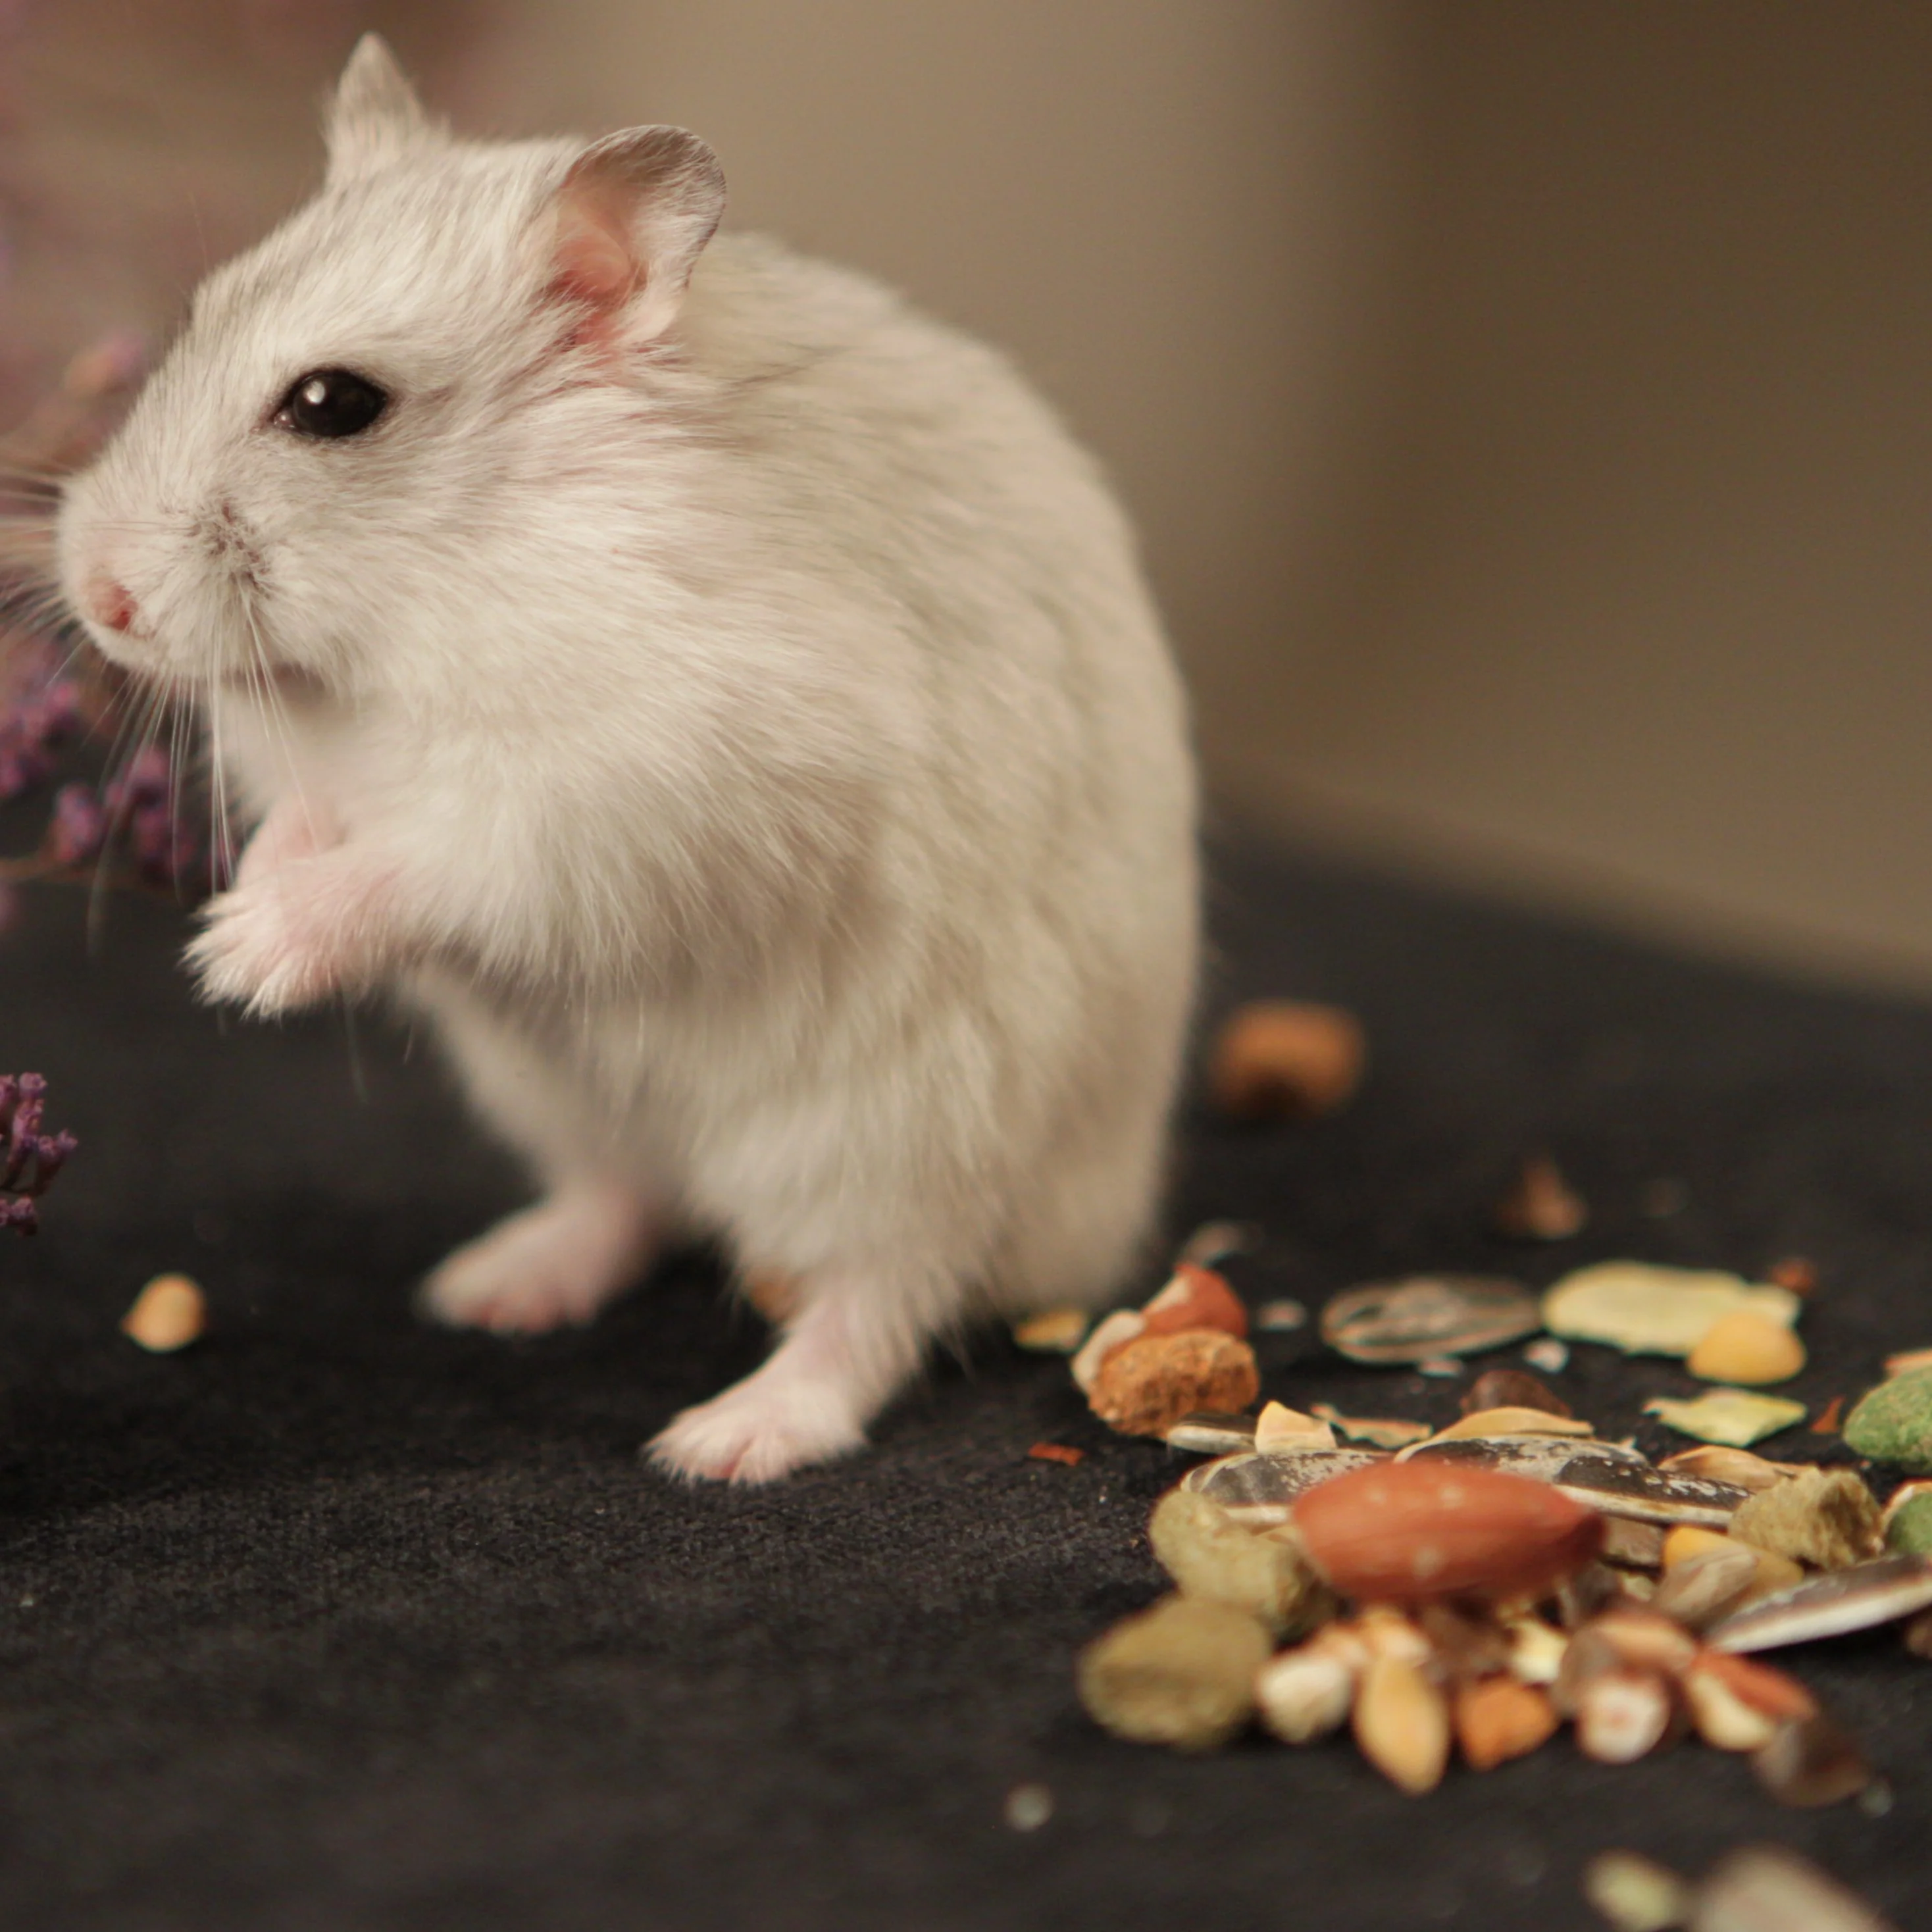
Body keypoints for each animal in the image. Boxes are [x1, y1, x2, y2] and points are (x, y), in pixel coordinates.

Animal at [56, 36, 1199, 1482]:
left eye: (332, 405)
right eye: (195, 316)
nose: (97, 597)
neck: (417, 597)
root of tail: (1093, 1228)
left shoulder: (629, 790)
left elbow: (421, 864)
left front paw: (240, 961)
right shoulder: (326, 775)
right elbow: (310, 831)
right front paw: (234, 919)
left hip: (902, 1143)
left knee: (877, 1305)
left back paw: (723, 1440)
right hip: (563, 1099)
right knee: (628, 1202)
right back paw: (488, 1290)